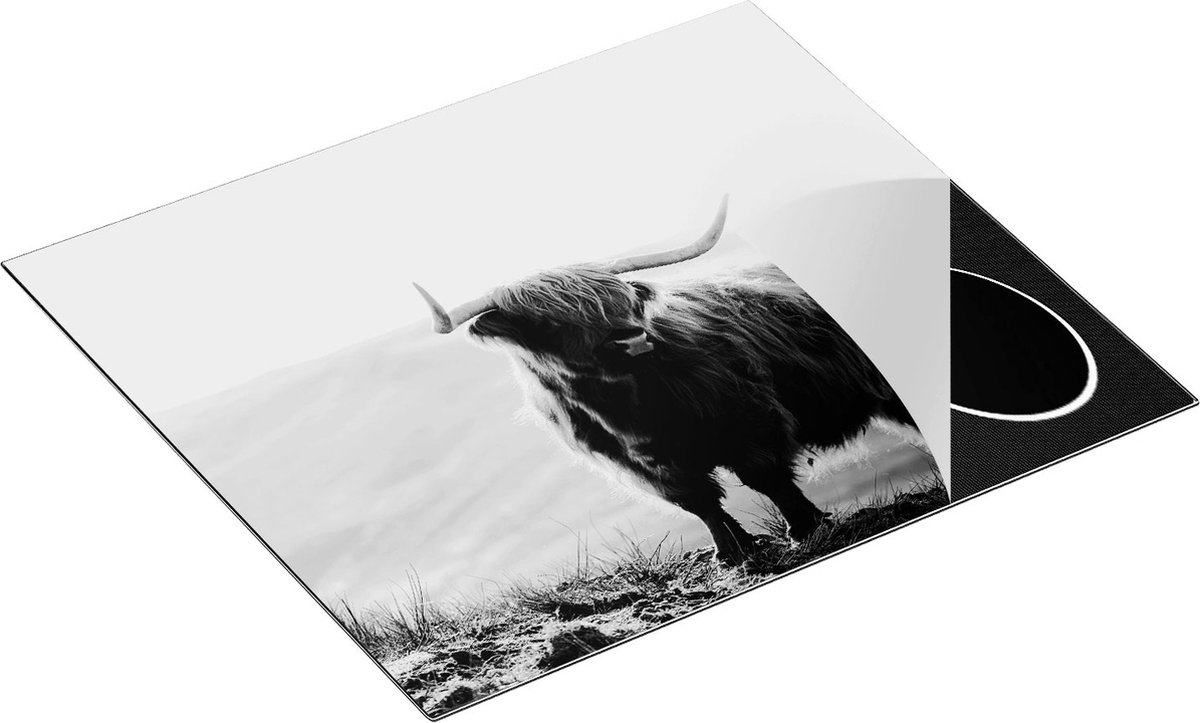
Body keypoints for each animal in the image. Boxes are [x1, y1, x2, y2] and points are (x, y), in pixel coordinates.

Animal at [413, 197, 919, 564]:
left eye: (620, 297)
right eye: (549, 323)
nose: (630, 336)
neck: (632, 411)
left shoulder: (750, 422)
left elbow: (766, 479)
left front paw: (806, 528)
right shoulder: (647, 469)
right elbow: (701, 503)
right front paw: (732, 553)